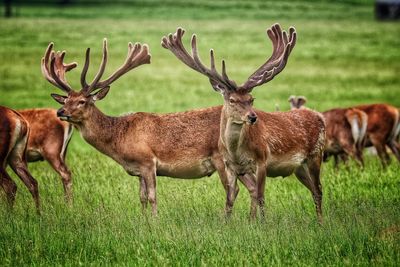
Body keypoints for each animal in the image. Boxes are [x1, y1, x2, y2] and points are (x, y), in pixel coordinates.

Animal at [41, 38, 256, 217]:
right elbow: (142, 197)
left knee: (235, 189)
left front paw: (155, 221)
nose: (60, 111)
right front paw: (144, 220)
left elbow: (152, 196)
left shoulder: (147, 162)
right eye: (66, 99)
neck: (119, 139)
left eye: (83, 101)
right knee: (253, 187)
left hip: (222, 159)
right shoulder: (138, 169)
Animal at [162, 24, 324, 222]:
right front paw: (230, 222)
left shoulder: (262, 160)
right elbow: (230, 198)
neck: (236, 152)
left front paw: (263, 223)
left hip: (316, 155)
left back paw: (321, 222)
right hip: (299, 167)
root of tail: (319, 116)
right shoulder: (231, 167)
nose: (252, 117)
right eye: (232, 100)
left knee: (318, 190)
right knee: (313, 189)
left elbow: (261, 195)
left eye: (251, 99)